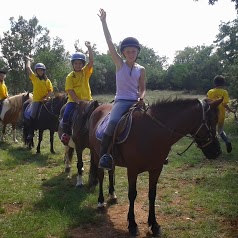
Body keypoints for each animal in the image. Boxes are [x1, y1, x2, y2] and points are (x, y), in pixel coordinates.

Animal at [88, 96, 223, 236]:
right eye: (212, 121)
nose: (217, 152)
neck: (152, 131)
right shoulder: (132, 170)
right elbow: (132, 195)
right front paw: (132, 225)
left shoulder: (156, 169)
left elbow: (152, 194)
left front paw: (154, 225)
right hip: (96, 155)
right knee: (101, 176)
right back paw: (100, 202)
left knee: (110, 171)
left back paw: (113, 195)